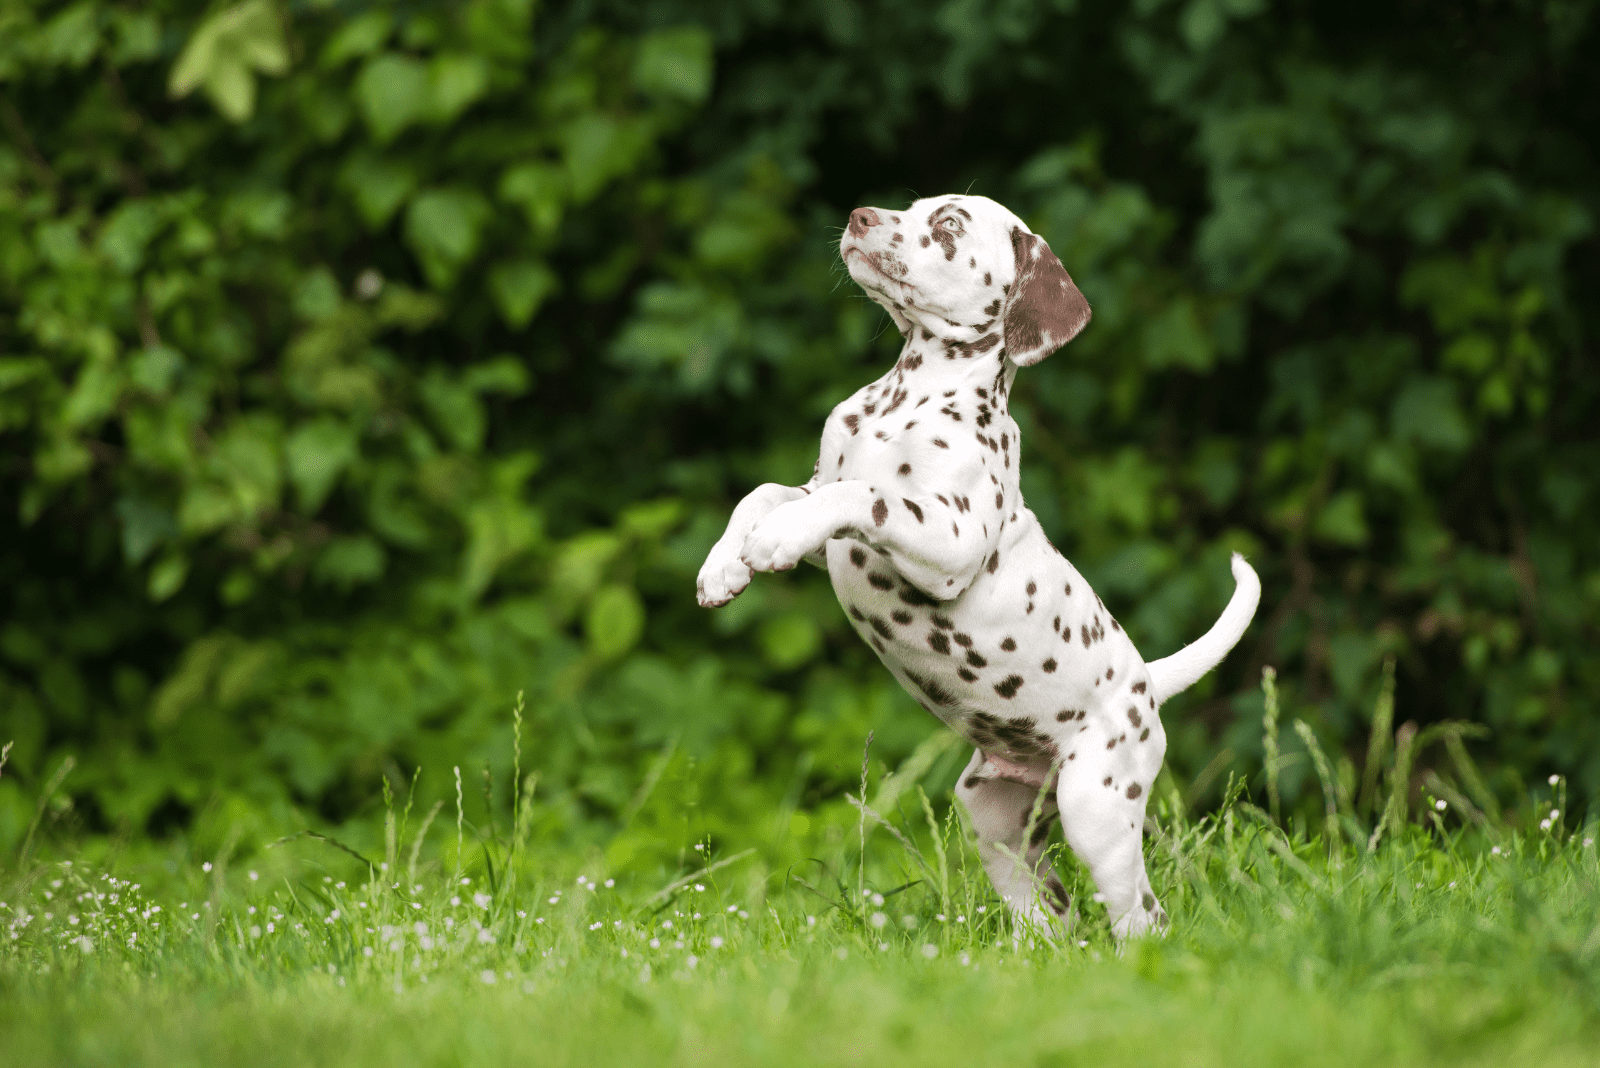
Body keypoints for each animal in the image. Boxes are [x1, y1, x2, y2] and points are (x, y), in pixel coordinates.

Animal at [700, 195, 1260, 940]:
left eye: (949, 224)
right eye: (909, 206)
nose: (860, 214)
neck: (908, 399)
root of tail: (1146, 681)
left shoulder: (949, 538)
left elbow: (866, 495)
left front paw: (771, 542)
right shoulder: (822, 506)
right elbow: (763, 494)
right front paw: (723, 567)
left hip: (1096, 812)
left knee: (1142, 917)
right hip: (996, 823)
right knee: (1051, 913)